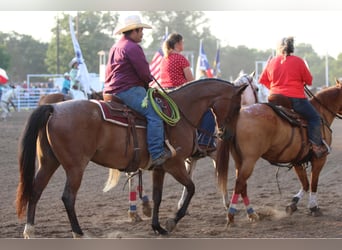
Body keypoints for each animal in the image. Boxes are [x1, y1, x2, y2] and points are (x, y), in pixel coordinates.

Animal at [16, 78, 246, 238]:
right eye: (237, 107)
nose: (227, 135)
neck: (182, 113)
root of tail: (54, 108)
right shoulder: (175, 164)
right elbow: (191, 189)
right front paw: (171, 222)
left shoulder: (160, 167)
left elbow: (158, 196)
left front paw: (157, 226)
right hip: (75, 167)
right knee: (67, 197)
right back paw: (78, 233)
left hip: (49, 162)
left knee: (35, 190)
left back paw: (30, 231)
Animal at [216, 82, 342, 227]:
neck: (321, 112)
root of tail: (238, 116)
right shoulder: (320, 159)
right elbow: (313, 184)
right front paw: (313, 207)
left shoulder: (297, 161)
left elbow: (305, 184)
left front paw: (293, 204)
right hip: (250, 160)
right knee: (239, 183)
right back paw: (231, 215)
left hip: (239, 160)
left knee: (243, 185)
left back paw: (252, 214)